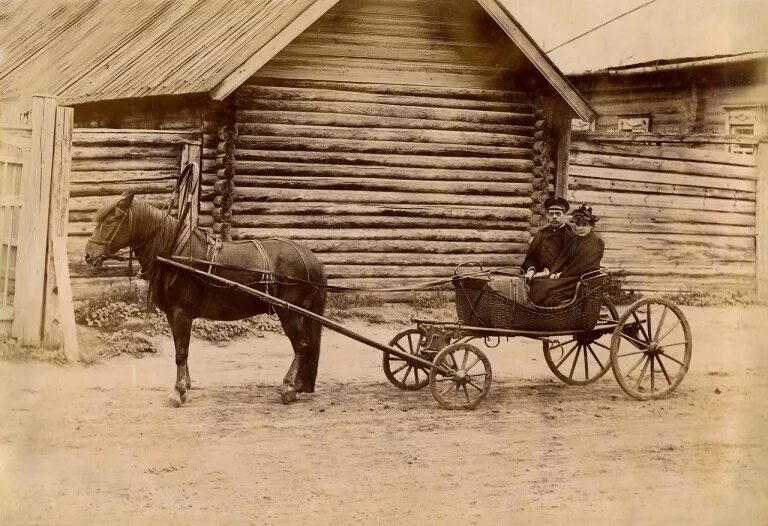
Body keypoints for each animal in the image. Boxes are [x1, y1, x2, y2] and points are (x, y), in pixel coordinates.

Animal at [84, 192, 328, 406]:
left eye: (111, 220)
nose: (88, 254)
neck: (172, 252)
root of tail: (313, 259)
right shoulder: (173, 315)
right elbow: (180, 349)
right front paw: (185, 387)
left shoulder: (182, 312)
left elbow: (181, 352)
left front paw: (177, 392)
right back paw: (298, 385)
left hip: (290, 312)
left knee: (302, 346)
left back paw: (288, 387)